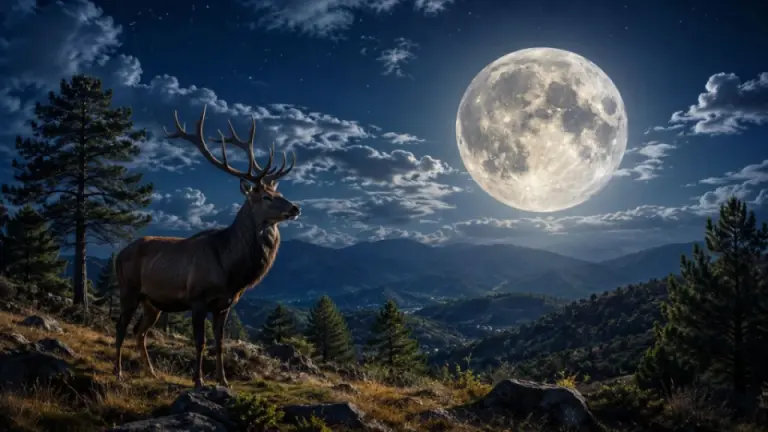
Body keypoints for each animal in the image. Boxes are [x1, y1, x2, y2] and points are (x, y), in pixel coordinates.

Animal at [113, 105, 300, 389]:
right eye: (267, 196)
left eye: (279, 192)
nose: (295, 207)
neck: (231, 270)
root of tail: (118, 254)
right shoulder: (197, 298)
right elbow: (200, 342)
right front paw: (199, 380)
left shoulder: (225, 304)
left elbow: (220, 343)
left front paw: (223, 380)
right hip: (129, 289)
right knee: (121, 326)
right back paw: (118, 371)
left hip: (152, 302)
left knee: (140, 331)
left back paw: (151, 371)